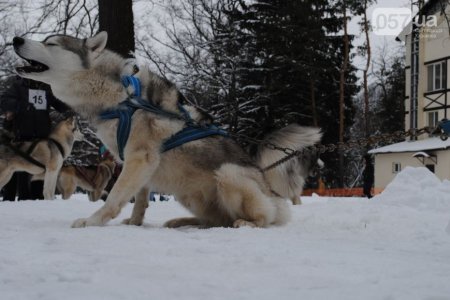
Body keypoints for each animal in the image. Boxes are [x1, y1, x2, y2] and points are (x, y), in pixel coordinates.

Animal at [14, 32, 322, 227]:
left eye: (51, 43)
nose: (16, 39)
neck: (120, 96)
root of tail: (274, 195)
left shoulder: (139, 159)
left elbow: (115, 197)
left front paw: (92, 221)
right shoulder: (138, 163)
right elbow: (139, 200)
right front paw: (135, 223)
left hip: (228, 174)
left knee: (258, 219)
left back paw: (246, 223)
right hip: (187, 194)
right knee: (215, 220)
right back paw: (183, 222)